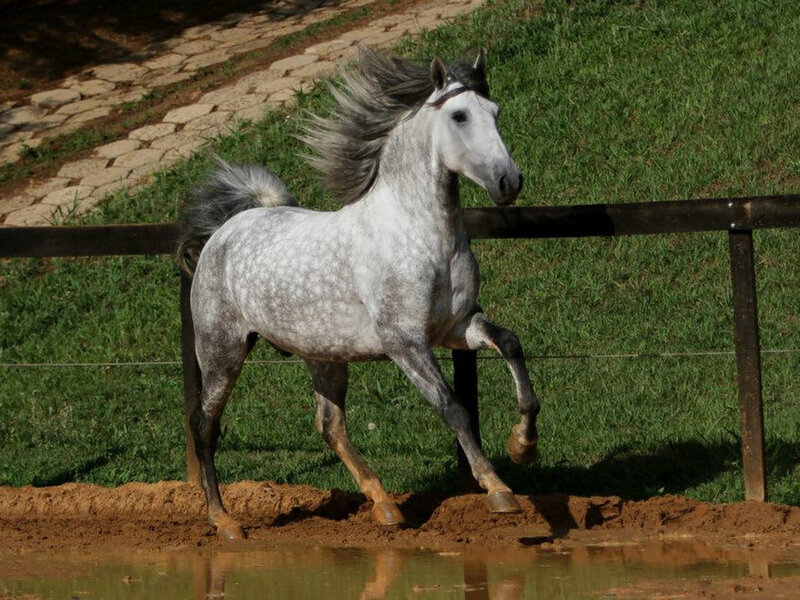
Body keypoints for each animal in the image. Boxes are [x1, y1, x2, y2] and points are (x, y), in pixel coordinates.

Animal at [177, 49, 541, 539]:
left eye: (495, 112)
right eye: (460, 115)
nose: (508, 182)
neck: (421, 236)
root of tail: (224, 233)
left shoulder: (456, 326)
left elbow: (510, 344)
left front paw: (523, 445)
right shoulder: (405, 343)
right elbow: (454, 407)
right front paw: (499, 490)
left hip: (324, 355)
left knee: (330, 426)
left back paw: (385, 506)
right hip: (222, 350)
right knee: (205, 426)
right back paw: (224, 521)